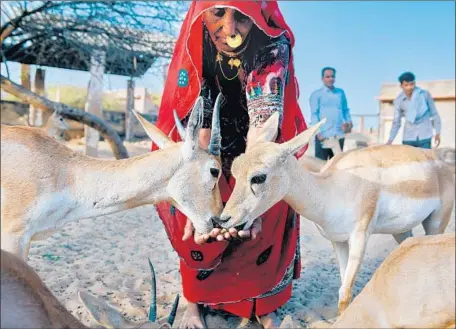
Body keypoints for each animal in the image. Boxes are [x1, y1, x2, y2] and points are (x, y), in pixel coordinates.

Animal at [217, 111, 456, 314]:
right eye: (235, 170)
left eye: (258, 177)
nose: (223, 219)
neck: (332, 189)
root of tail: (439, 160)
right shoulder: (338, 241)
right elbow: (342, 285)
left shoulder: (359, 238)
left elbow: (345, 292)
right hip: (401, 231)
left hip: (436, 224)